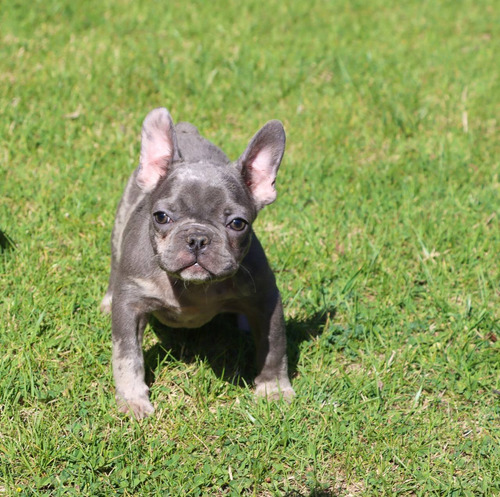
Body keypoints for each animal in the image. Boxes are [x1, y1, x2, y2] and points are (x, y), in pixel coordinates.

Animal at [101, 106, 294, 416]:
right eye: (161, 217)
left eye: (238, 223)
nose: (197, 238)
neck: (191, 287)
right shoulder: (130, 306)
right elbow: (127, 356)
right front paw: (132, 400)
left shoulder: (267, 300)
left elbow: (274, 348)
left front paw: (273, 389)